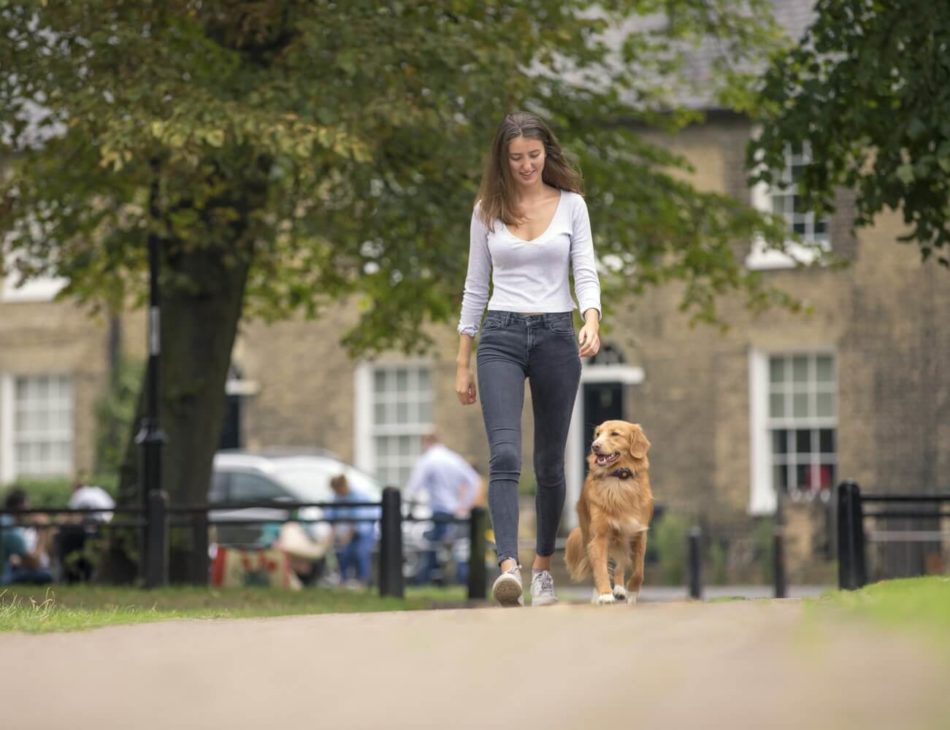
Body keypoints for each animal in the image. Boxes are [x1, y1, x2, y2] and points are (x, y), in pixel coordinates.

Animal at [564, 420, 656, 604]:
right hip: (590, 535)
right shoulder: (599, 537)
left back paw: (620, 588)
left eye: (615, 434)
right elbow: (600, 568)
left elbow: (639, 570)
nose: (594, 446)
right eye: (598, 434)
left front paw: (632, 592)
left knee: (620, 563)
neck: (619, 478)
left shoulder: (638, 534)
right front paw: (605, 594)